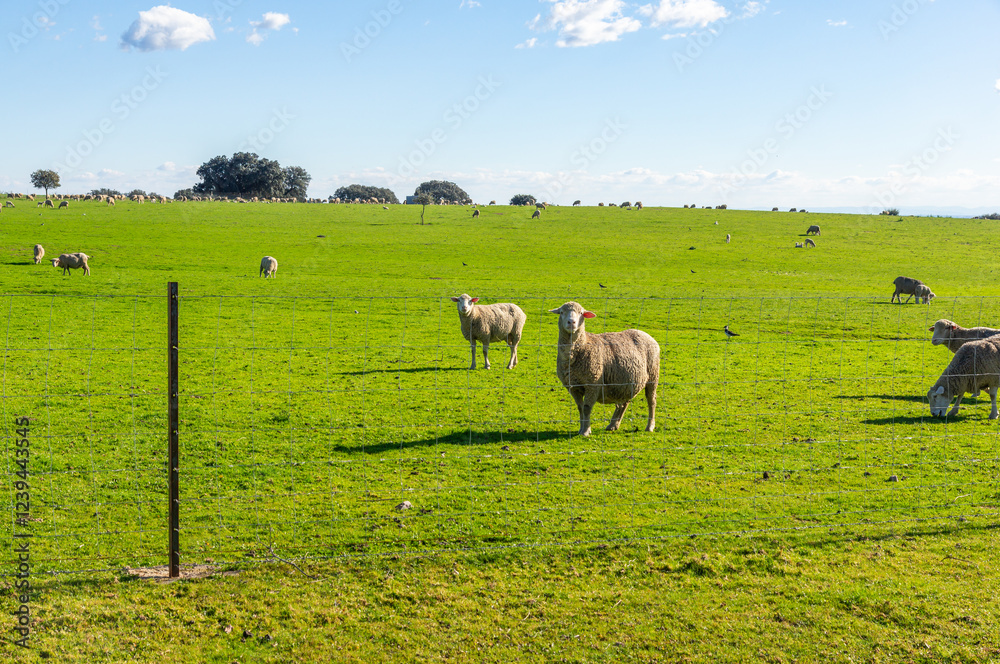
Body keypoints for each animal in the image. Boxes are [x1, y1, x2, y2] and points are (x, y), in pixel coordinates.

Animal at [549, 301, 659, 437]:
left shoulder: (593, 384)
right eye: (562, 312)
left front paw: (586, 431)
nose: (571, 322)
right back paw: (613, 425)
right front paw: (582, 429)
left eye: (581, 313)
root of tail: (645, 334)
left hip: (653, 376)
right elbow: (580, 408)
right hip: (627, 381)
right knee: (624, 402)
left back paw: (650, 426)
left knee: (651, 401)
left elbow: (586, 408)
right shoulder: (573, 387)